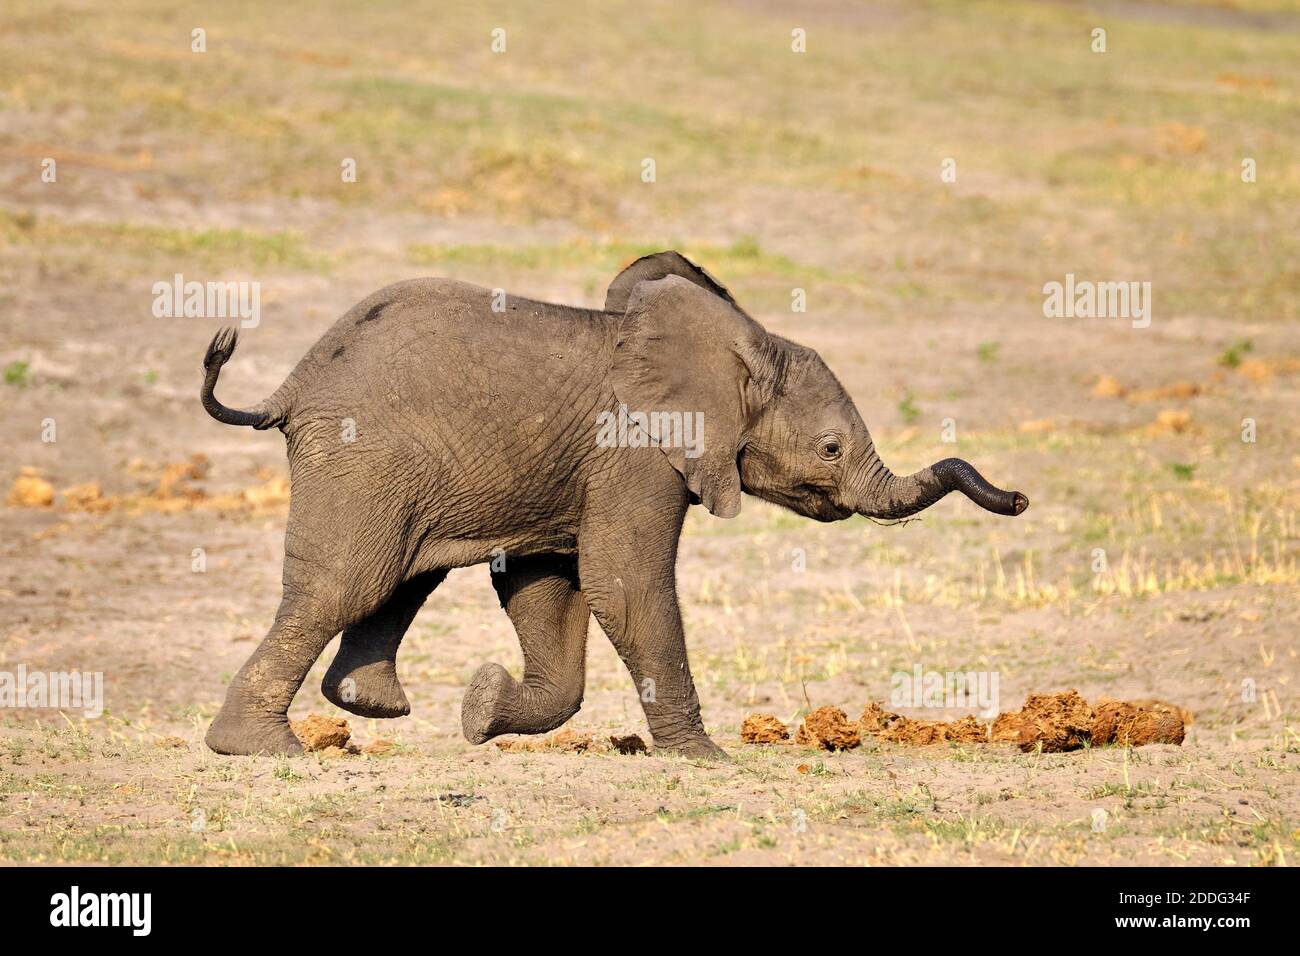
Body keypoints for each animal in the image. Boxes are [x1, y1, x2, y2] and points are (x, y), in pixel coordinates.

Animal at [199, 251, 1027, 759]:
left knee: (399, 580)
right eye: (830, 449)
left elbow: (551, 589)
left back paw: (369, 707)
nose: (1018, 498)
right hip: (362, 456)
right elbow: (624, 581)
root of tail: (291, 387)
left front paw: (481, 709)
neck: (734, 343)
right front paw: (707, 758)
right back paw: (264, 747)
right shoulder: (635, 453)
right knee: (350, 581)